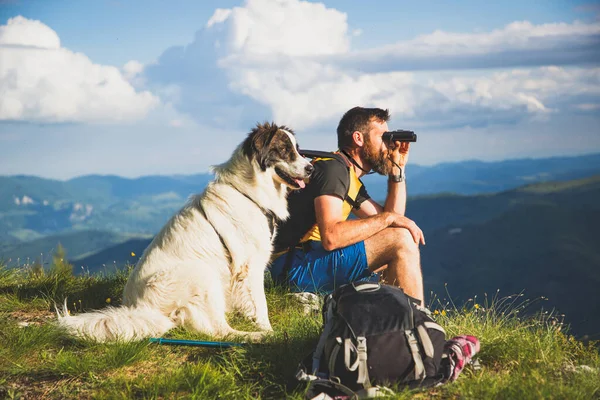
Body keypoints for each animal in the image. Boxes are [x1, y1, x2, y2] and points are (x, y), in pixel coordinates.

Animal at [56, 123, 314, 342]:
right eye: (284, 150)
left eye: (298, 149)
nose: (311, 167)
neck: (247, 192)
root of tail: (141, 308)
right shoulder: (250, 265)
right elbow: (260, 305)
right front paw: (266, 329)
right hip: (202, 273)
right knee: (220, 331)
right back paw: (255, 337)